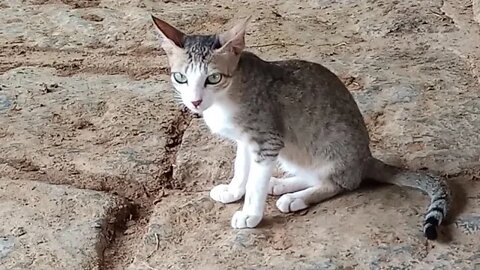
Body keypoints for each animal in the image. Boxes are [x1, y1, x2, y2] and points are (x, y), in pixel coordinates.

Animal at [152, 15, 452, 240]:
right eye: (180, 77)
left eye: (213, 78)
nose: (195, 101)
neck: (229, 93)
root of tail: (366, 158)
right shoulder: (247, 141)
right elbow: (242, 167)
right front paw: (235, 190)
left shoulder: (267, 140)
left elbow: (256, 182)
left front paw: (250, 213)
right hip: (293, 152)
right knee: (313, 174)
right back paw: (283, 185)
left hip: (328, 150)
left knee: (340, 183)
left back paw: (296, 198)